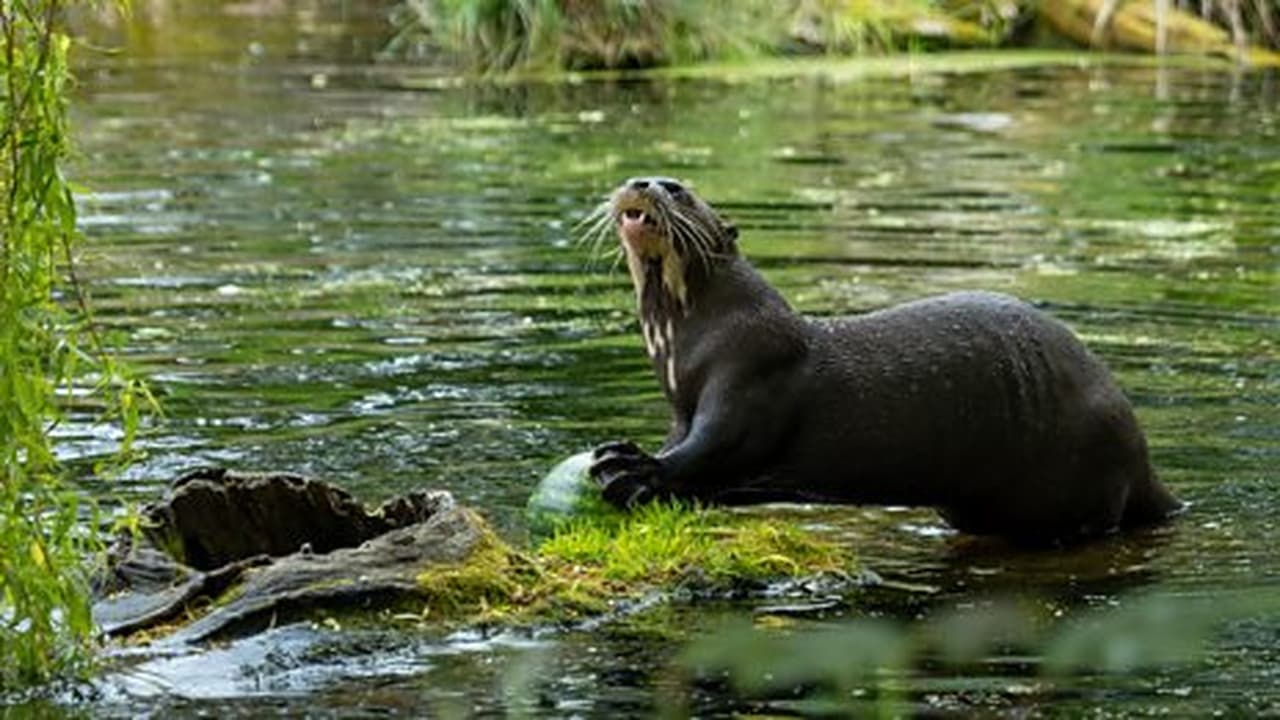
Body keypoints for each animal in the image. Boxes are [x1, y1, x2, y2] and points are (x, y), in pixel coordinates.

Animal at [581, 176, 1177, 540]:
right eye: (646, 179)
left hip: (1087, 471)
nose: (642, 183)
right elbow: (686, 445)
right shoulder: (682, 405)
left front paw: (633, 467)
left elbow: (715, 446)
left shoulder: (751, 373)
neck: (689, 344)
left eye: (678, 191)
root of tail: (1142, 458)